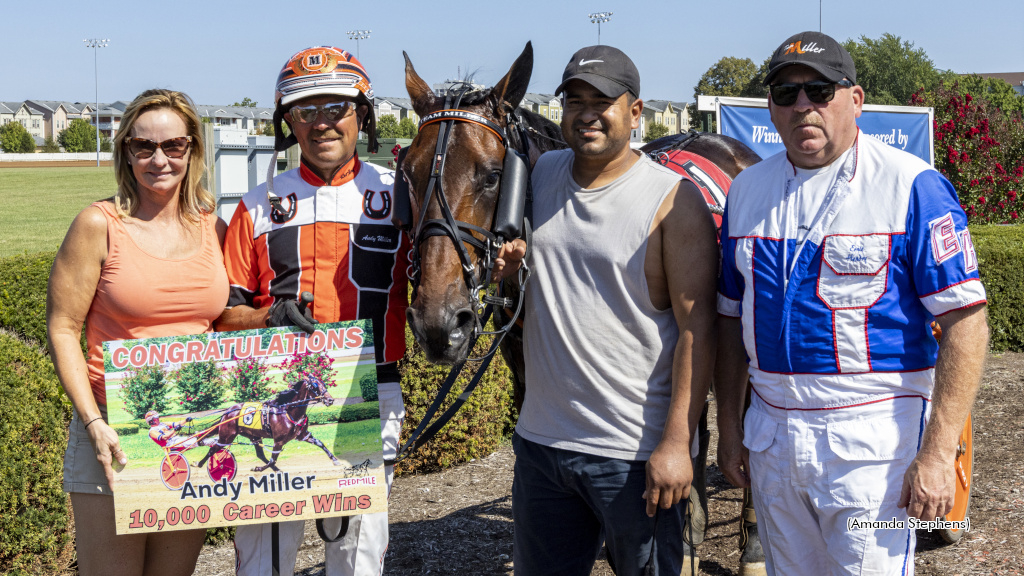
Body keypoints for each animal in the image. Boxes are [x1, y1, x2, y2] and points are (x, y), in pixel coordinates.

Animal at [195, 373, 344, 471]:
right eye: (315, 385)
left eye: (323, 383)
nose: (330, 400)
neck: (288, 411)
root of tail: (227, 412)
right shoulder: (278, 441)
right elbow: (273, 459)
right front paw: (259, 469)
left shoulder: (303, 435)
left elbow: (320, 443)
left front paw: (335, 460)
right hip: (226, 436)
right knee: (213, 449)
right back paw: (198, 464)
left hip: (254, 436)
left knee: (259, 454)